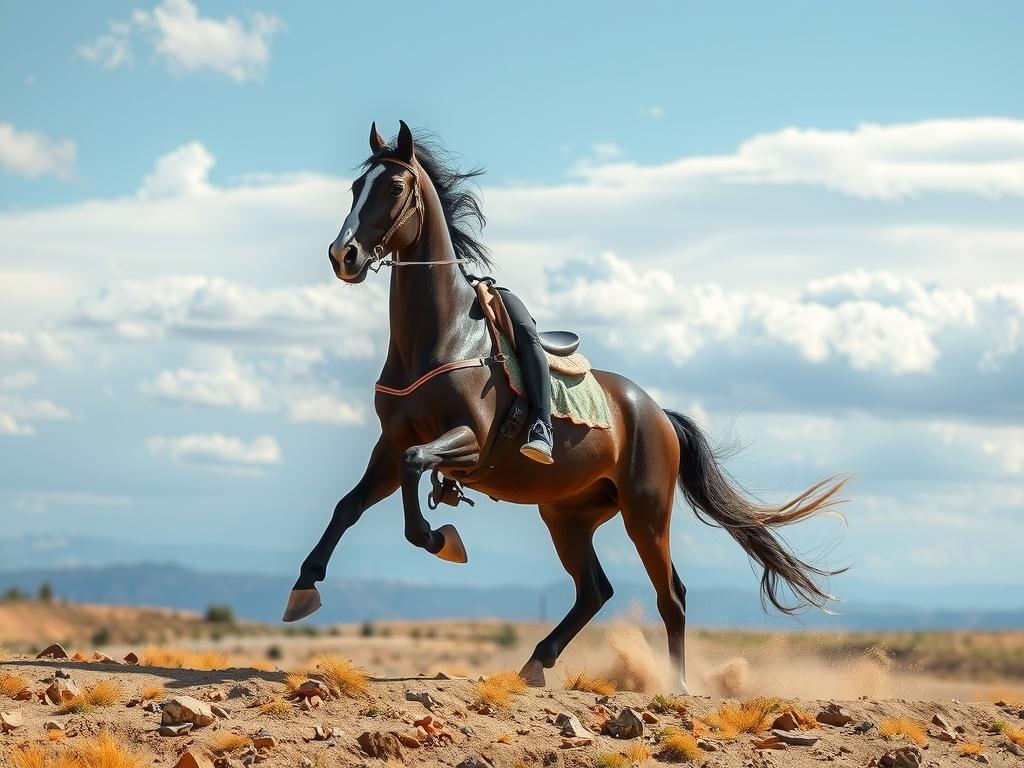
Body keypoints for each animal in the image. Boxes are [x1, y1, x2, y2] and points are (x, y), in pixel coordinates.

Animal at [284, 118, 843, 692]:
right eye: (356, 187)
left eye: (394, 187)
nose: (343, 255)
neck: (442, 336)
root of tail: (658, 415)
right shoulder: (390, 444)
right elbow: (350, 504)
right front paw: (305, 586)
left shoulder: (467, 442)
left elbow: (416, 475)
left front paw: (444, 540)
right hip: (567, 516)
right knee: (595, 590)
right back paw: (538, 660)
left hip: (646, 514)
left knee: (671, 595)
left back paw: (677, 686)